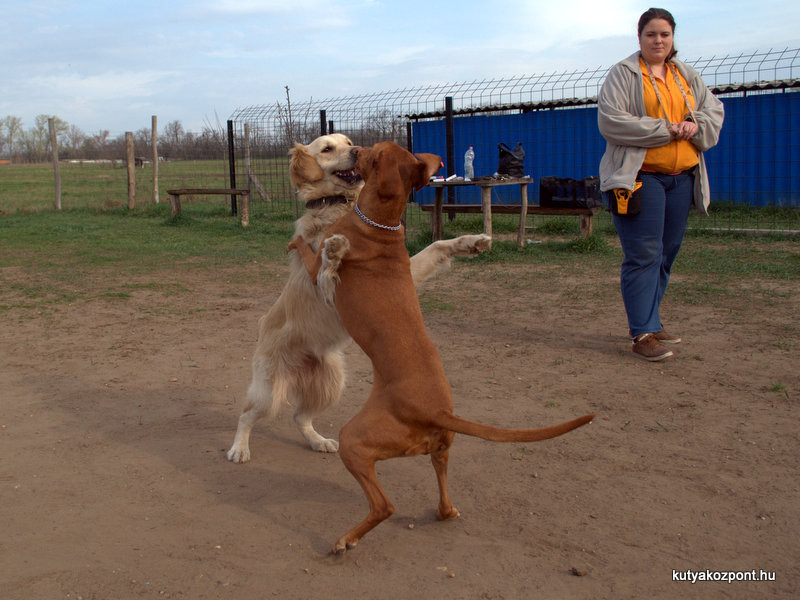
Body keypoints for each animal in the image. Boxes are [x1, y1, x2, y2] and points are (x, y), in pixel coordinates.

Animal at [290, 142, 592, 552]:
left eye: (371, 151)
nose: (356, 147)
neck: (380, 222)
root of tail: (437, 410)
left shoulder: (317, 271)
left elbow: (312, 254)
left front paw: (302, 244)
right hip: (441, 449)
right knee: (444, 496)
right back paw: (443, 513)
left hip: (355, 440)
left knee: (384, 505)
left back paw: (345, 541)